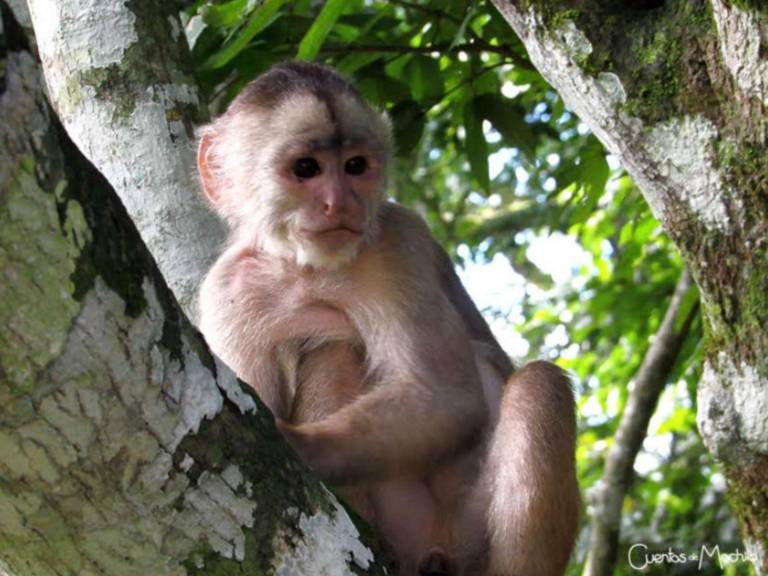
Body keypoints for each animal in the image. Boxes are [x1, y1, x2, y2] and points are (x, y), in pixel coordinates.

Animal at [196, 60, 576, 572]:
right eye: (306, 169)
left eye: (355, 166)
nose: (341, 203)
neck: (305, 269)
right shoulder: (227, 289)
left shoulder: (398, 242)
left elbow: (445, 397)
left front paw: (297, 444)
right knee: (332, 349)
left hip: (467, 528)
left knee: (539, 385)